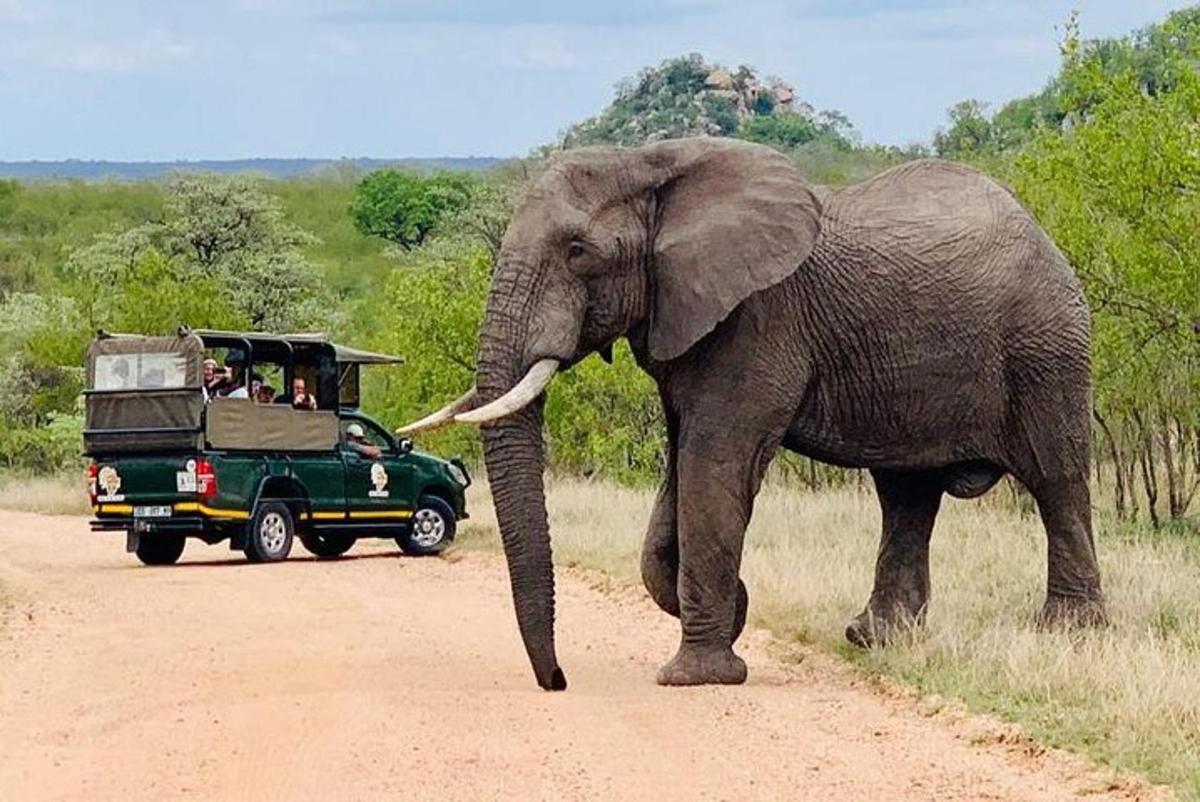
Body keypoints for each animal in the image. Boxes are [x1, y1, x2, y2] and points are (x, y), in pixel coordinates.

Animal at [403, 136, 1104, 691]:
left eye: (579, 252)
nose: (557, 681)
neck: (652, 162)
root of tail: (1041, 231)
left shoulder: (758, 320)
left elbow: (714, 466)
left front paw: (697, 675)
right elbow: (678, 478)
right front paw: (729, 610)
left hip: (1046, 346)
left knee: (1056, 479)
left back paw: (1067, 634)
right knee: (907, 496)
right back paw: (874, 638)